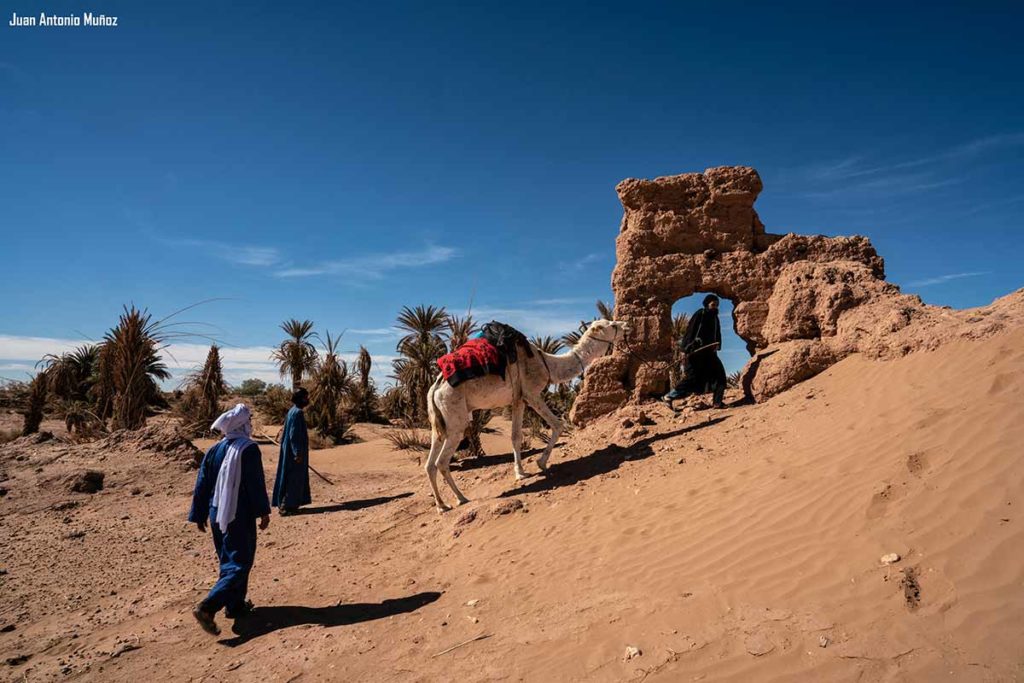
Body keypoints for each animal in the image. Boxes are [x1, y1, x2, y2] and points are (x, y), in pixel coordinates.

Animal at [421, 321, 622, 511]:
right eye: (612, 325)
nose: (625, 325)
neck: (547, 363)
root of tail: (434, 390)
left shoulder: (518, 399)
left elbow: (515, 436)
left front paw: (520, 473)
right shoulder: (531, 393)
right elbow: (558, 425)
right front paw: (541, 462)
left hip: (439, 422)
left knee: (430, 464)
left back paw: (441, 505)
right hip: (455, 418)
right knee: (441, 462)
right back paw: (461, 498)